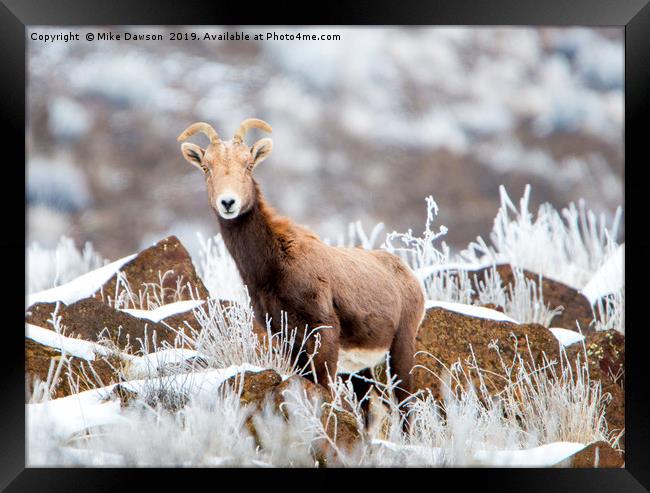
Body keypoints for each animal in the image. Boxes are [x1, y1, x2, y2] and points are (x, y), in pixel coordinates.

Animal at [177, 118, 426, 408]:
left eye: (248, 165)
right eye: (206, 167)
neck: (273, 268)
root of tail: (408, 276)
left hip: (400, 350)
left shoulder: (323, 332)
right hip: (361, 372)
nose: (228, 202)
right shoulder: (288, 341)